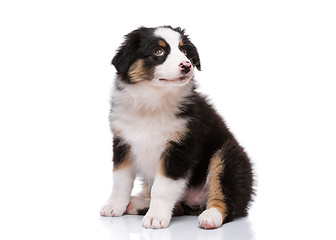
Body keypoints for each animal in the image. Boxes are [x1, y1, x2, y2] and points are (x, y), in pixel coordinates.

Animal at [101, 25, 253, 229]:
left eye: (184, 50)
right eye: (159, 51)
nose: (187, 65)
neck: (153, 103)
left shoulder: (180, 147)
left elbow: (162, 187)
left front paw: (156, 217)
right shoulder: (122, 142)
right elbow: (121, 180)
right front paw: (114, 205)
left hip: (228, 157)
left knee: (226, 199)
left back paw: (210, 216)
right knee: (179, 206)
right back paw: (135, 203)